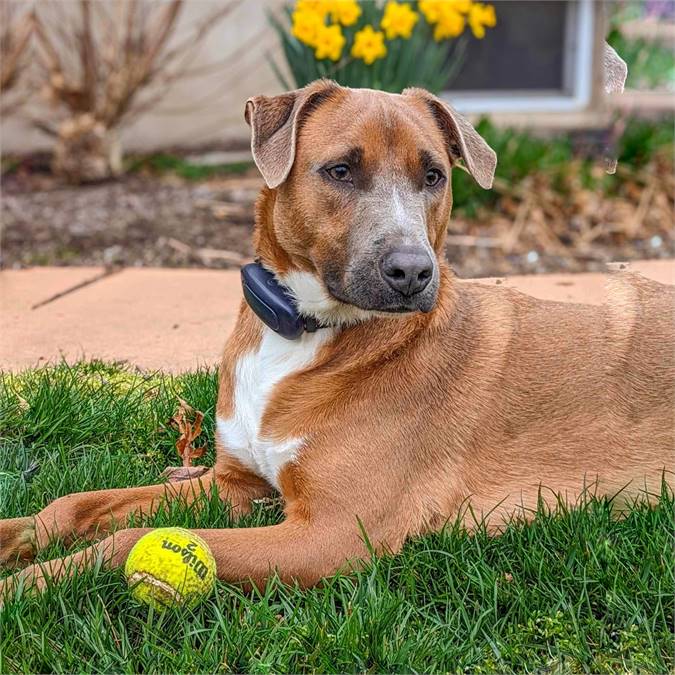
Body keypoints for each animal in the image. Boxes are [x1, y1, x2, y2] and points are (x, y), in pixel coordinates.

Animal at [1, 82, 675, 596]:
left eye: (434, 175)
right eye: (341, 170)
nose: (413, 272)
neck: (303, 333)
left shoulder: (330, 534)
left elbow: (123, 541)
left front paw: (26, 586)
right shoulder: (234, 486)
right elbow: (77, 504)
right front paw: (18, 537)